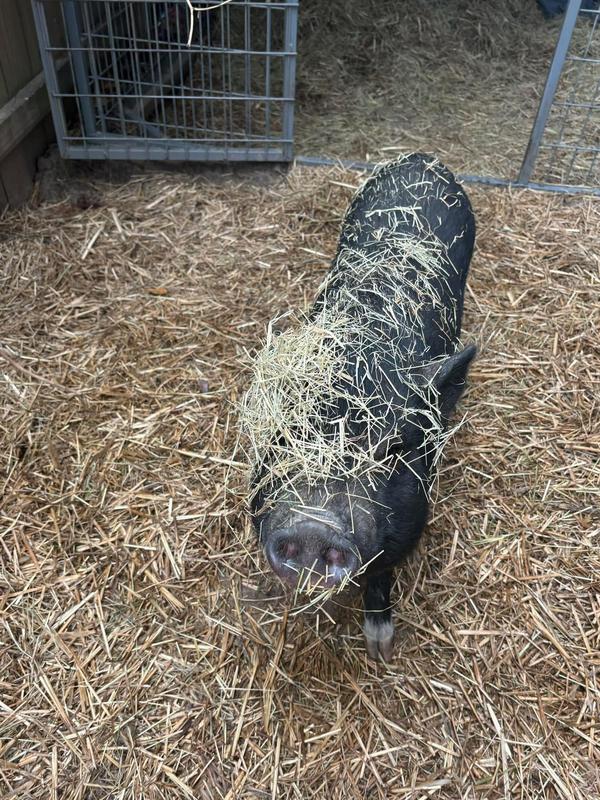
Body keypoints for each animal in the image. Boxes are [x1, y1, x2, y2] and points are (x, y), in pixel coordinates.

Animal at [245, 153, 476, 660]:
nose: (312, 527)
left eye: (391, 450)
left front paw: (380, 650)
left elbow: (381, 574)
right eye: (283, 439)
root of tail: (421, 156)